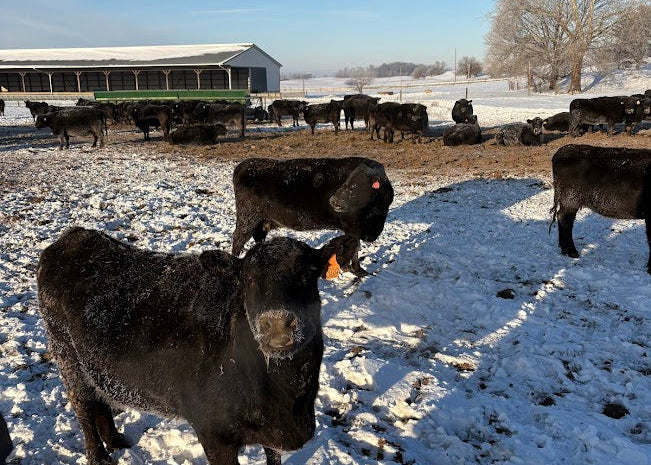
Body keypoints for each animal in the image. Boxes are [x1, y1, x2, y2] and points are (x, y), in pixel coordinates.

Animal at [37, 226, 359, 465]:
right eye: (248, 279)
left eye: (308, 274)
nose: (277, 323)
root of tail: (75, 236)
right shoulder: (214, 432)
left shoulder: (274, 436)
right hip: (66, 355)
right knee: (83, 405)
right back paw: (99, 456)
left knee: (100, 399)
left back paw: (116, 441)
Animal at [232, 157, 394, 276]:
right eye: (347, 181)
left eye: (357, 184)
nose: (333, 201)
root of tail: (245, 164)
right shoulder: (353, 227)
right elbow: (354, 249)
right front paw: (357, 270)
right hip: (248, 218)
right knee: (238, 239)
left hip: (262, 221)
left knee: (258, 238)